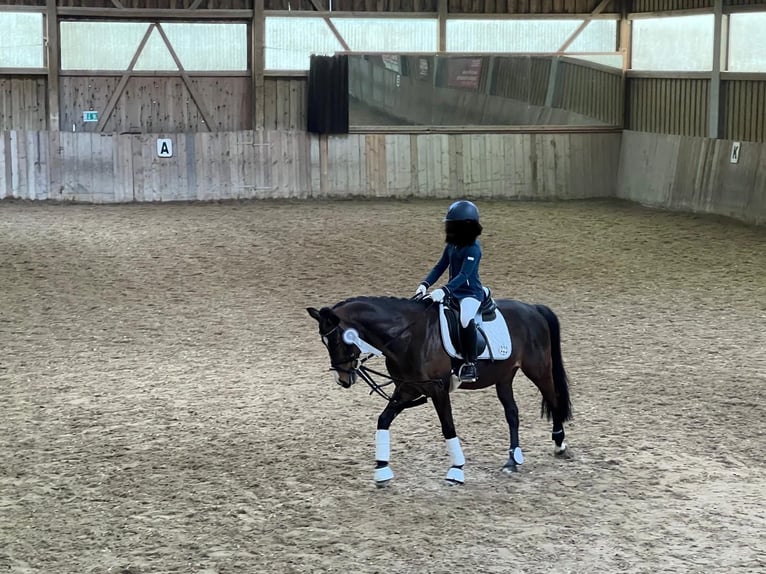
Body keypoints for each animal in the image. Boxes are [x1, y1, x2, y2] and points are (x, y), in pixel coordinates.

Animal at [308, 300, 572, 488]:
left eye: (337, 340)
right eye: (324, 342)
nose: (343, 380)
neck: (409, 337)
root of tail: (532, 308)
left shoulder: (438, 390)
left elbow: (448, 428)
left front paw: (456, 471)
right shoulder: (407, 388)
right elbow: (383, 420)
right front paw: (382, 470)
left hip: (538, 369)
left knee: (553, 399)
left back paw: (560, 444)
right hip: (504, 377)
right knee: (512, 414)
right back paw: (512, 461)